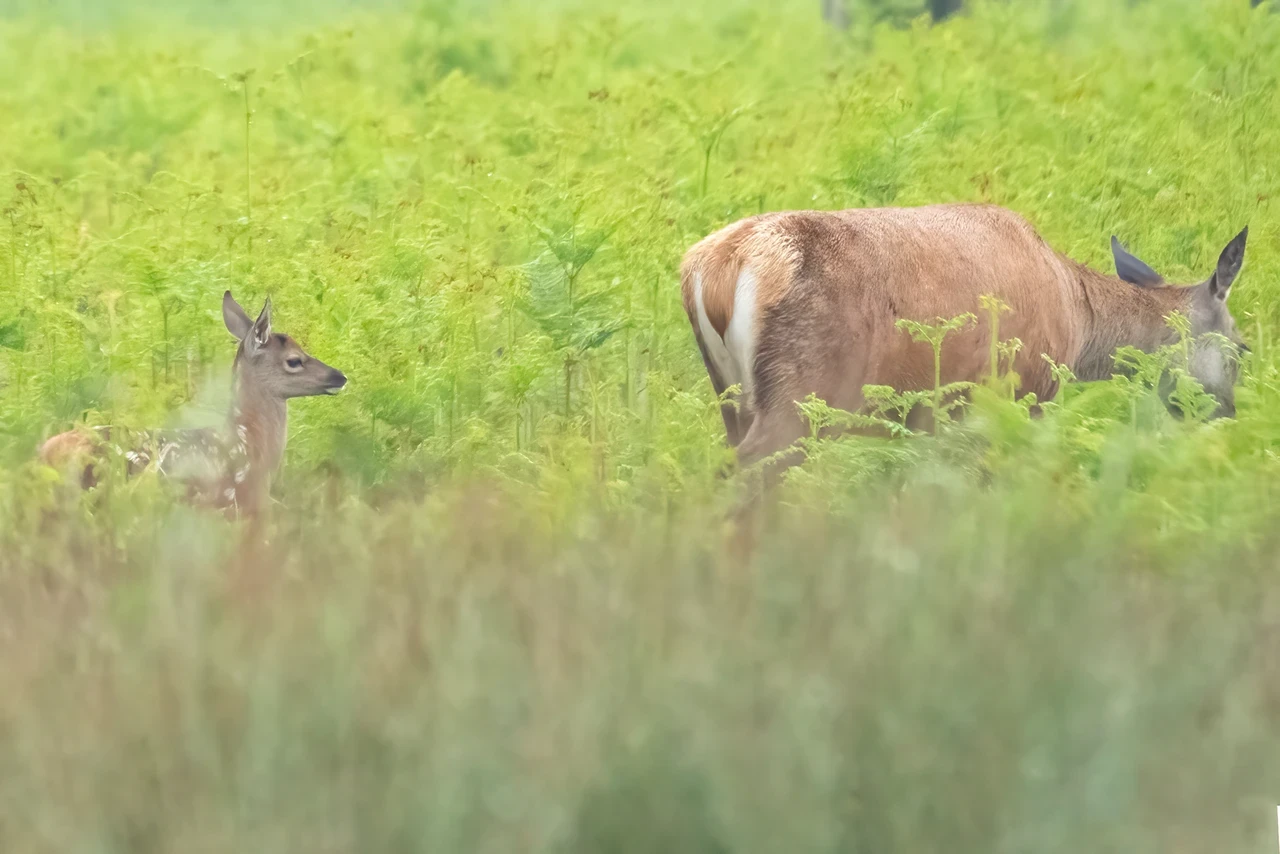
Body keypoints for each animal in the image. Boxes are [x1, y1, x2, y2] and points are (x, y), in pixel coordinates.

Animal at [680, 203, 1249, 484]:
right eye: (1244, 350)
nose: (1227, 415)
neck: (1078, 316)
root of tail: (715, 267)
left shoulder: (934, 418)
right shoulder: (1017, 396)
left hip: (732, 396)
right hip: (802, 392)